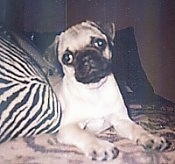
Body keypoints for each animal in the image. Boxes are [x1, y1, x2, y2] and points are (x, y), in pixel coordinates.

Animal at [48, 20, 168, 161]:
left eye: (99, 43)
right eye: (67, 58)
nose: (86, 57)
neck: (95, 92)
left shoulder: (121, 121)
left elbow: (136, 128)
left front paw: (150, 137)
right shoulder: (68, 127)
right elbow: (85, 135)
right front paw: (100, 146)